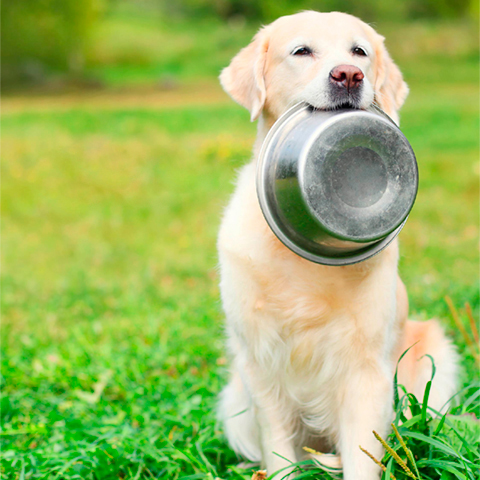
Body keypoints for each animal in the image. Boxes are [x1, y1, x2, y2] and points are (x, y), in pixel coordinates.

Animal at [217, 11, 458, 480]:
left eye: (358, 51)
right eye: (301, 51)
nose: (349, 75)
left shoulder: (366, 369)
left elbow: (363, 456)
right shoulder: (261, 363)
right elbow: (279, 451)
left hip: (434, 358)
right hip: (235, 398)